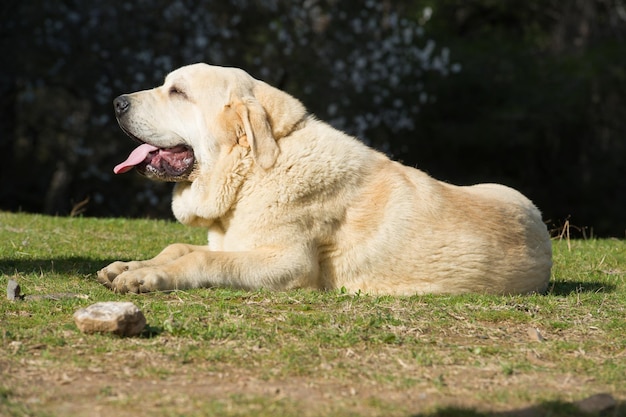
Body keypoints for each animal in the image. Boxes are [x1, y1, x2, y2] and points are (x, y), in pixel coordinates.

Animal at [95, 62, 548, 296]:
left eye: (178, 92)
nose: (116, 102)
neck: (252, 172)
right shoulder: (232, 241)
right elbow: (177, 247)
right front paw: (129, 265)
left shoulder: (287, 264)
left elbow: (202, 259)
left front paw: (144, 277)